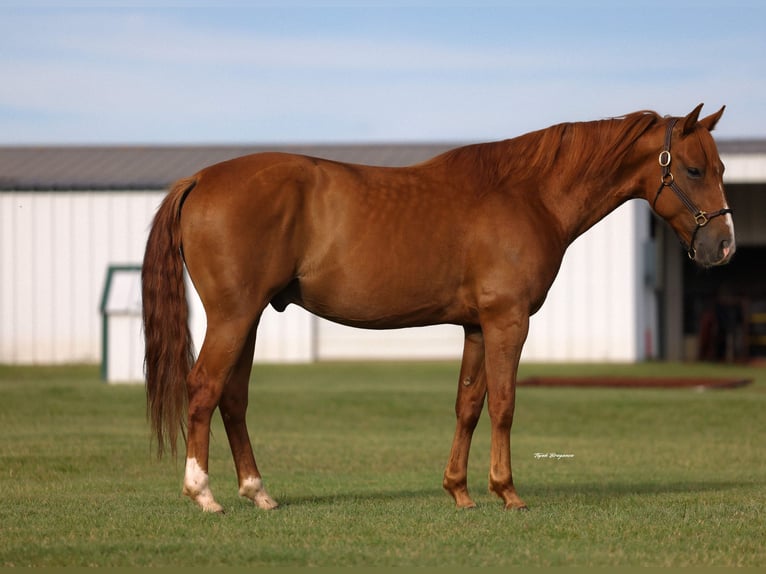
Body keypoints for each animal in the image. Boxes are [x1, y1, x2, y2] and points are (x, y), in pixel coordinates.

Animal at [142, 104, 735, 513]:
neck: (527, 195)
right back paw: (204, 493)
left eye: (721, 167)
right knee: (204, 389)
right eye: (693, 169)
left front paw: (460, 492)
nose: (724, 246)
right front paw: (507, 492)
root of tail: (201, 179)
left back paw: (257, 492)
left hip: (249, 319)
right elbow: (504, 405)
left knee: (233, 398)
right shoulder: (507, 321)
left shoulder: (476, 326)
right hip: (233, 317)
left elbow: (468, 405)